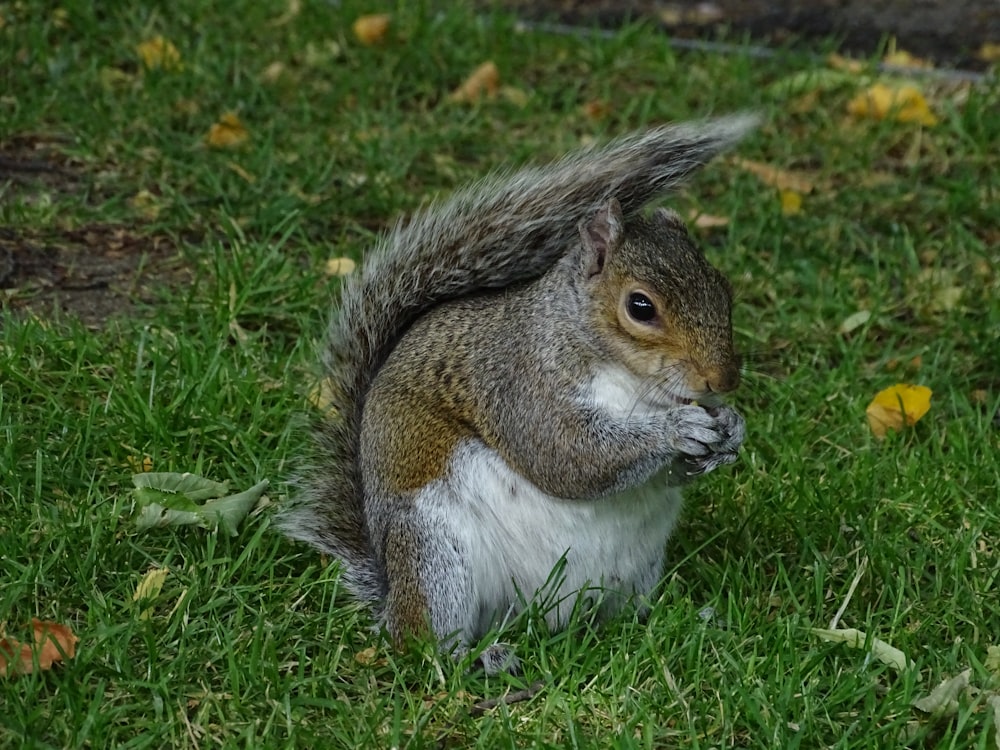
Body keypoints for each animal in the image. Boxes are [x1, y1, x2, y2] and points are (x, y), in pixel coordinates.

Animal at [278, 113, 752, 676]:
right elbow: (565, 454)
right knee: (421, 645)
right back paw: (477, 657)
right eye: (640, 306)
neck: (637, 385)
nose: (722, 381)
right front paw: (675, 430)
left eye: (723, 288)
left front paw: (731, 431)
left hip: (634, 571)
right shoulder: (518, 382)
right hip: (435, 555)